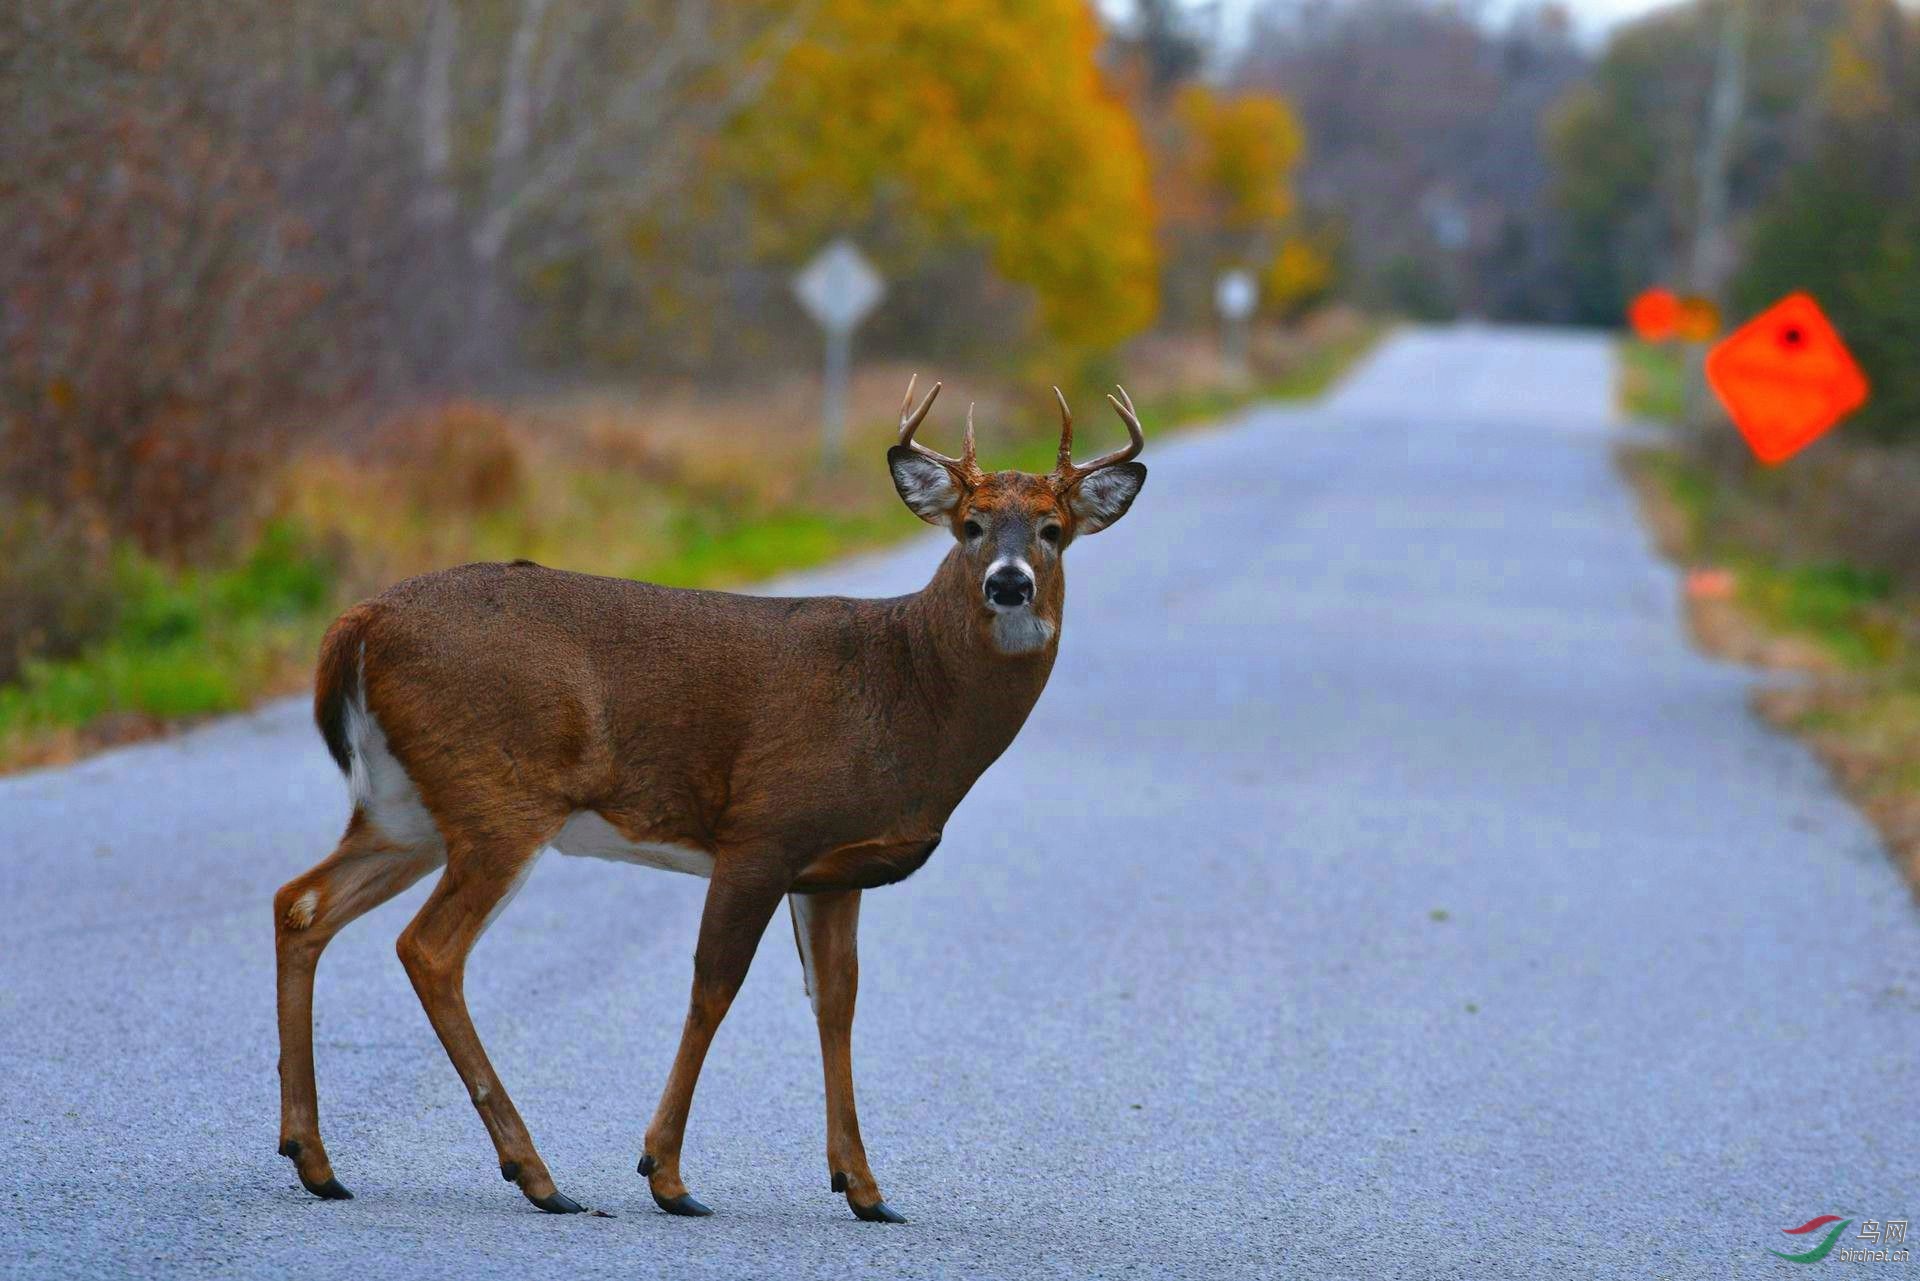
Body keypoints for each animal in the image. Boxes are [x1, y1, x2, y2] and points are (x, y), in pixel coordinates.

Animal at [270, 380, 1136, 1221]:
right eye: (970, 525)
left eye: (1053, 528)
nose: (1009, 582)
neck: (907, 690)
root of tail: (357, 624)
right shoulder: (764, 829)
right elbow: (715, 986)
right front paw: (667, 1174)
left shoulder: (835, 865)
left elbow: (837, 1001)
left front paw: (864, 1187)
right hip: (499, 796)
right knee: (428, 947)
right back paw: (536, 1174)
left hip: (406, 807)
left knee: (302, 902)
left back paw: (315, 1160)